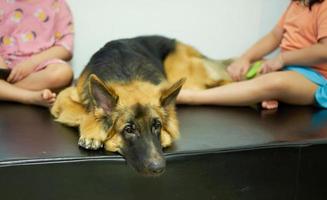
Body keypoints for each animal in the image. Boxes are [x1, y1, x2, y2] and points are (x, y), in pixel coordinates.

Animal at [50, 35, 233, 176]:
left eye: (157, 126)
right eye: (129, 129)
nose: (158, 168)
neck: (127, 75)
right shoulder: (63, 97)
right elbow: (85, 112)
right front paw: (93, 132)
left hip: (186, 76)